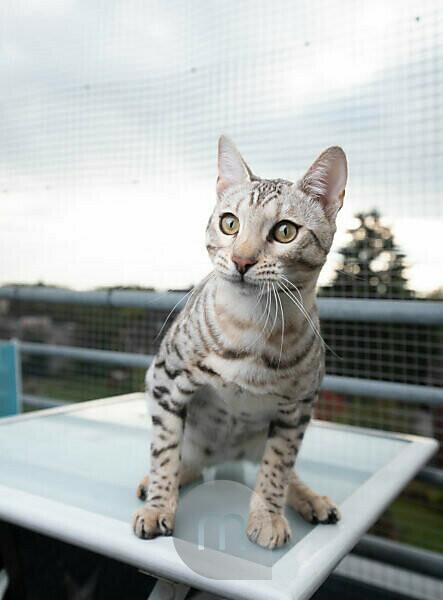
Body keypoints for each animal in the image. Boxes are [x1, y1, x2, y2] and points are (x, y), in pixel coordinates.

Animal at [132, 136, 346, 548]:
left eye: (285, 231)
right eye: (229, 223)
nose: (241, 261)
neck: (251, 325)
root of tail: (221, 457)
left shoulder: (297, 410)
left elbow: (278, 469)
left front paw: (267, 516)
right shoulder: (167, 380)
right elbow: (164, 450)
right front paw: (158, 505)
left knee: (281, 469)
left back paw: (312, 499)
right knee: (186, 460)